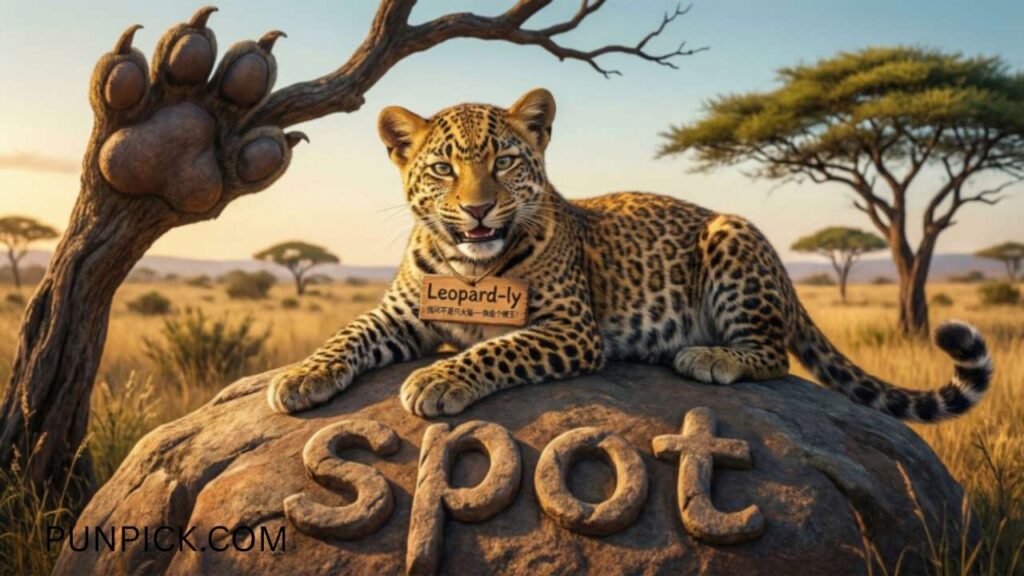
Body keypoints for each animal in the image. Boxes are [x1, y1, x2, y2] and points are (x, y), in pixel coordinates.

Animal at [267, 88, 992, 423]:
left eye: (505, 162)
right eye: (444, 168)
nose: (478, 210)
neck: (468, 269)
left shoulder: (568, 328)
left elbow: (492, 350)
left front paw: (439, 380)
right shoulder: (400, 314)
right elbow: (347, 334)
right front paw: (299, 376)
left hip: (730, 238)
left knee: (772, 354)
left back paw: (707, 355)